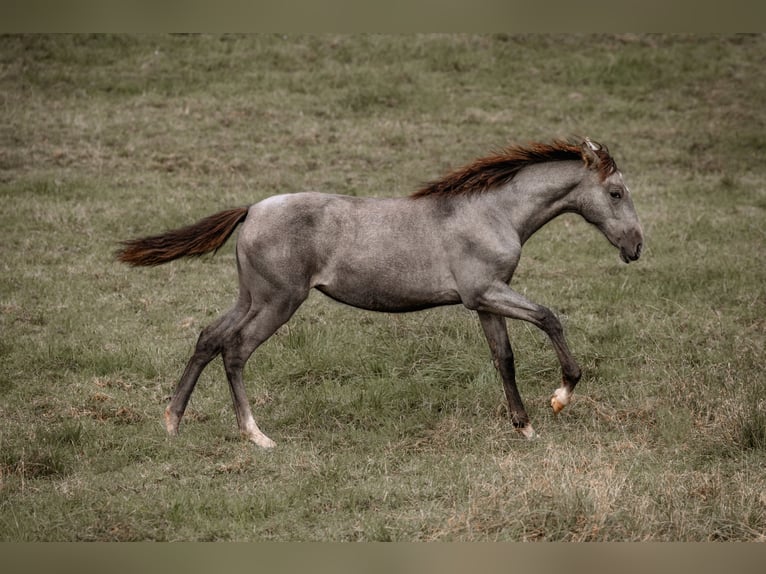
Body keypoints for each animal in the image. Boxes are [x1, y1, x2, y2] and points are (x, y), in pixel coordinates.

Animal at [118, 140, 648, 450]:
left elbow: (504, 359)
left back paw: (172, 422)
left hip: (252, 297)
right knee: (235, 349)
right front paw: (560, 397)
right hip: (277, 302)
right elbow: (549, 317)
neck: (492, 211)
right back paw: (256, 435)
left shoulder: (484, 301)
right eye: (616, 193)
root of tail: (251, 210)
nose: (636, 246)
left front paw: (525, 426)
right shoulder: (486, 292)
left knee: (209, 337)